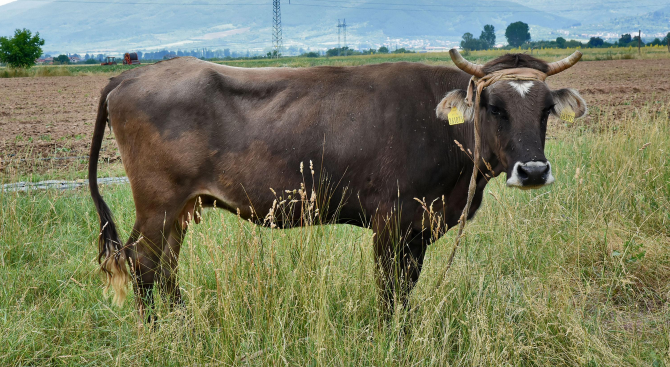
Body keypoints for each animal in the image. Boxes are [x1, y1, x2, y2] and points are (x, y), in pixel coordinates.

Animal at [90, 49, 588, 322]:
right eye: (494, 106)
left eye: (546, 109)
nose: (533, 171)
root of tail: (131, 74)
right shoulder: (393, 220)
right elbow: (391, 287)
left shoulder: (418, 227)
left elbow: (407, 284)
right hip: (158, 202)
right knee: (143, 264)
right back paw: (160, 330)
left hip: (182, 207)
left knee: (164, 266)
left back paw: (181, 322)